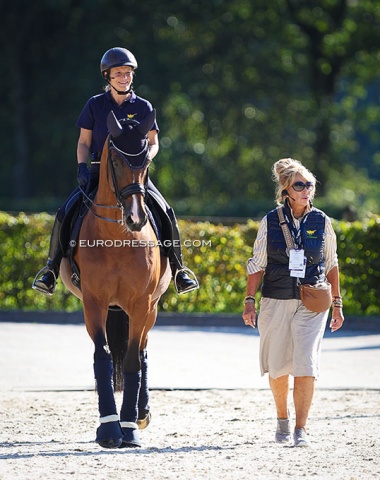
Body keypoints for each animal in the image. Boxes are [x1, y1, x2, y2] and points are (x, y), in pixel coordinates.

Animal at [60, 110, 171, 448]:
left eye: (145, 163)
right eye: (118, 161)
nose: (136, 218)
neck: (118, 236)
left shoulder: (141, 304)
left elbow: (133, 360)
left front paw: (129, 427)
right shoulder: (94, 303)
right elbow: (103, 357)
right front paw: (109, 428)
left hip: (151, 309)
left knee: (143, 351)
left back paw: (141, 413)